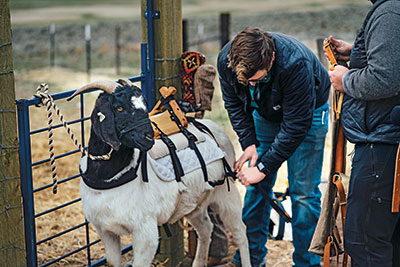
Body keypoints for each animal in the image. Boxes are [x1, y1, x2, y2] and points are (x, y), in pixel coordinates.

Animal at [68, 80, 250, 267]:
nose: (149, 137)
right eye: (119, 107)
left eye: (145, 105)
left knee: (240, 232)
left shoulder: (145, 231)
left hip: (226, 194)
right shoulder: (105, 231)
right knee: (206, 228)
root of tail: (211, 126)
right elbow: (112, 262)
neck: (110, 178)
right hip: (194, 202)